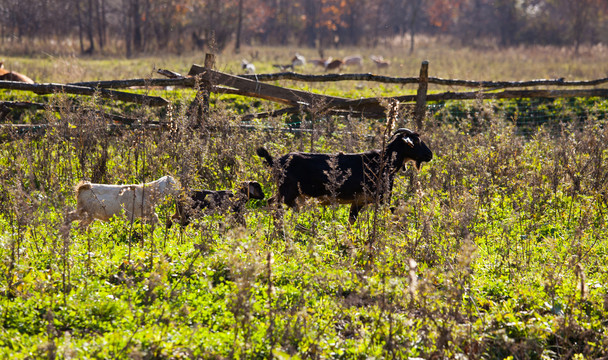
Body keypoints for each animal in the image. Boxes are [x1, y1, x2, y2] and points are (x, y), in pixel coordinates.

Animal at [256, 128, 432, 224]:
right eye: (415, 142)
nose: (430, 155)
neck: (383, 161)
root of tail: (275, 161)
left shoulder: (358, 201)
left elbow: (351, 221)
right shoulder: (382, 199)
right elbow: (392, 212)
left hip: (286, 191)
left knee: (272, 202)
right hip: (289, 191)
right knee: (281, 205)